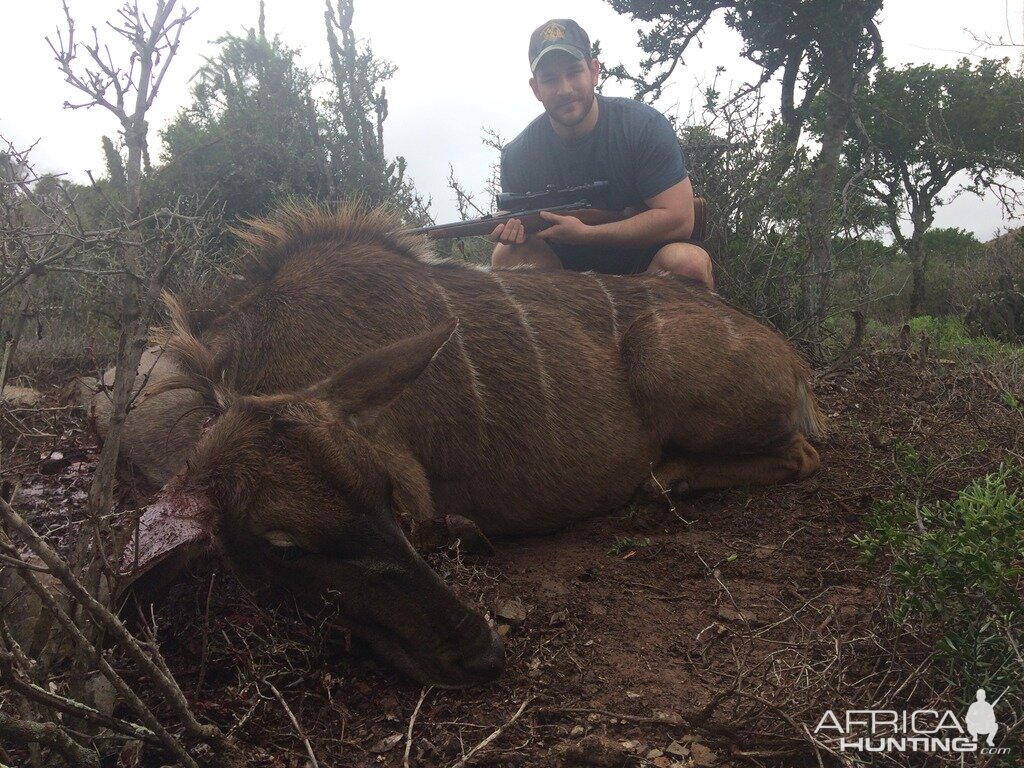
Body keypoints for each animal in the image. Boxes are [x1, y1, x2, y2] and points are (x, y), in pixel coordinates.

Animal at [105, 202, 823, 684]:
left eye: (386, 494)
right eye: (284, 547)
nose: (481, 650)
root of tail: (789, 356)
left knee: (801, 455)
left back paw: (666, 480)